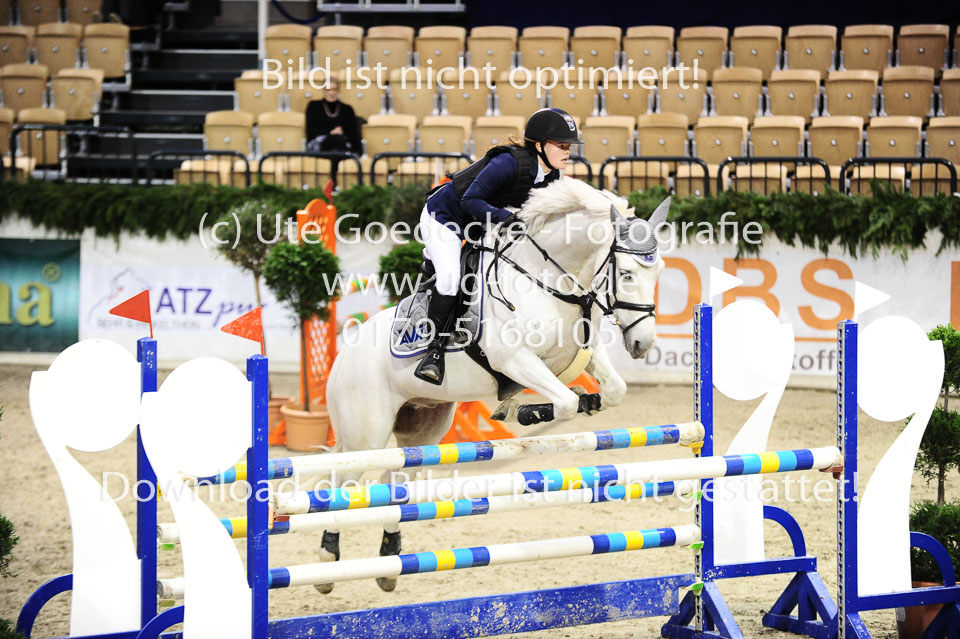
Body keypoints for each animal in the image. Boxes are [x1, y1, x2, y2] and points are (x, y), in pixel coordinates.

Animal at [320, 178, 670, 592]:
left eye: (659, 271)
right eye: (628, 273)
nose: (643, 344)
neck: (548, 281)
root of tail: (344, 355)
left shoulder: (581, 351)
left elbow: (613, 390)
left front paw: (581, 401)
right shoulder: (515, 360)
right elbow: (563, 402)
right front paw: (526, 412)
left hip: (422, 429)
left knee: (393, 481)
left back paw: (389, 562)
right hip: (367, 435)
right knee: (343, 485)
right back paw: (327, 562)